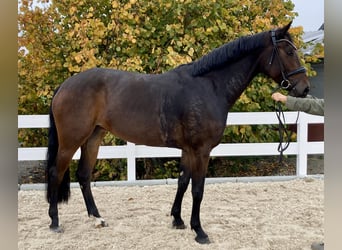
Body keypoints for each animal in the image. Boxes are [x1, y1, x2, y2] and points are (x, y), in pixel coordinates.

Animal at [46, 22, 310, 244]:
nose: (304, 89)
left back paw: (97, 218)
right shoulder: (201, 150)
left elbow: (183, 182)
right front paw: (199, 231)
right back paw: (55, 221)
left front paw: (178, 220)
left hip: (93, 137)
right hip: (70, 141)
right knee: (56, 173)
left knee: (83, 175)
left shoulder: (187, 149)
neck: (209, 86)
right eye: (288, 52)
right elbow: (198, 189)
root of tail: (65, 85)